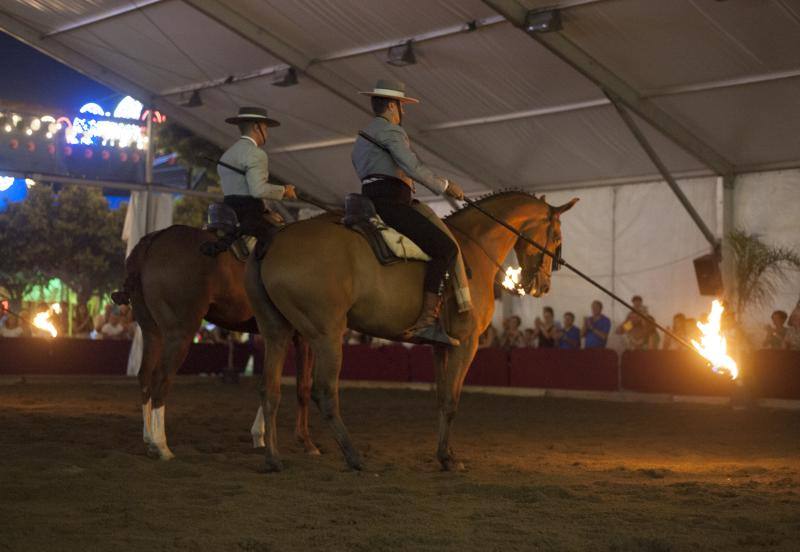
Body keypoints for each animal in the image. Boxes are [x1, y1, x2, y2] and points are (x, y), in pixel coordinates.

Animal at [114, 224, 318, 462]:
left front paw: (260, 436)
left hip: (152, 332)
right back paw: (161, 445)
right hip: (179, 334)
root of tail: (154, 239)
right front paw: (306, 442)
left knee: (145, 376)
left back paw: (149, 439)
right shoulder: (305, 336)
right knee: (161, 378)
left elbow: (270, 381)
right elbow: (302, 387)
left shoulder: (276, 336)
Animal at [244, 190, 576, 470]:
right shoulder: (466, 343)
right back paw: (353, 456)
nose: (543, 286)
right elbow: (452, 401)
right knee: (324, 392)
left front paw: (446, 453)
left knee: (269, 390)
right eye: (557, 236)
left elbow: (442, 397)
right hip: (326, 335)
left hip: (277, 333)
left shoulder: (442, 346)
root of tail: (273, 241)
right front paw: (447, 459)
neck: (473, 247)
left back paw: (273, 458)